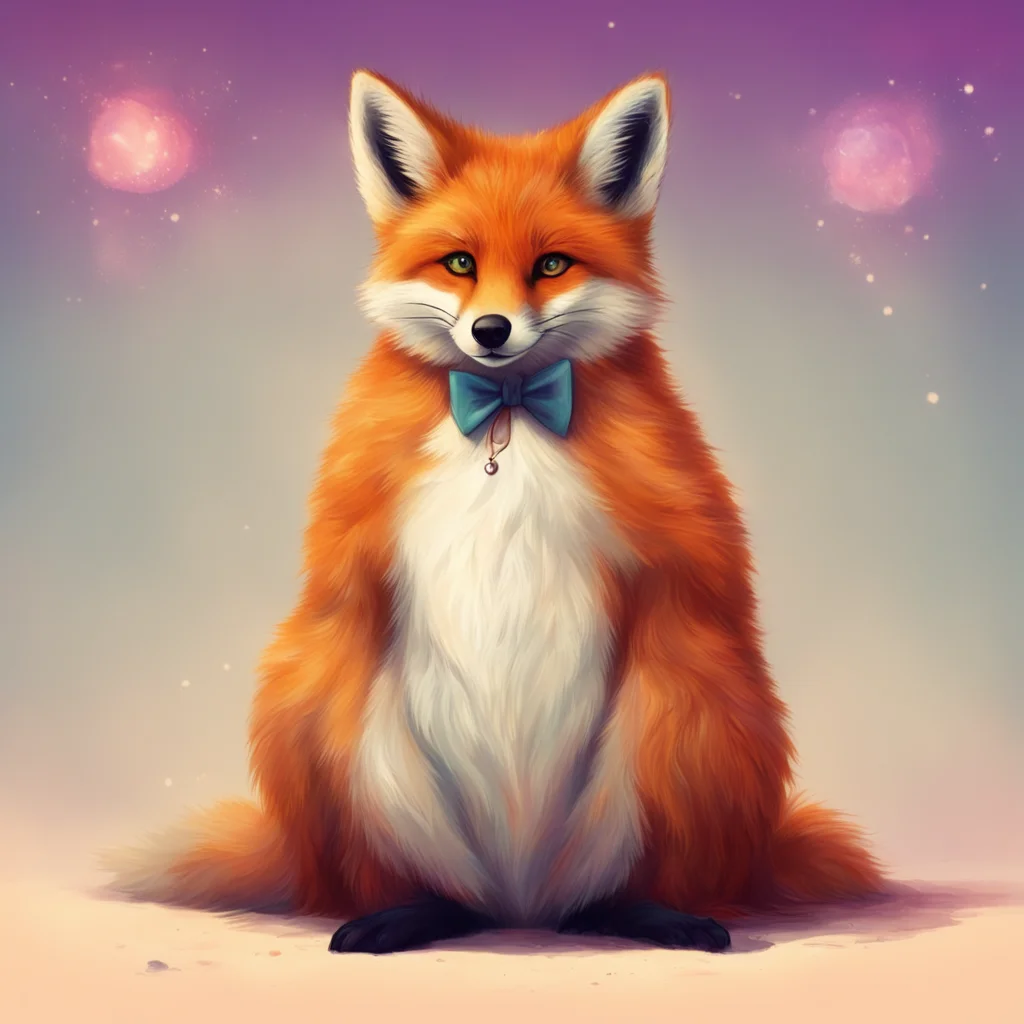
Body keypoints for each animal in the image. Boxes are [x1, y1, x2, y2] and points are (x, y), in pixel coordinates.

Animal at [102, 69, 885, 955]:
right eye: (459, 263)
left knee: (618, 888)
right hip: (331, 720)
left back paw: (654, 914)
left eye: (550, 264)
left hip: (682, 710)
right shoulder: (351, 558)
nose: (490, 330)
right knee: (418, 885)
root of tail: (524, 903)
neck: (507, 416)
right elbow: (345, 587)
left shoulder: (677, 554)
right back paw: (405, 913)